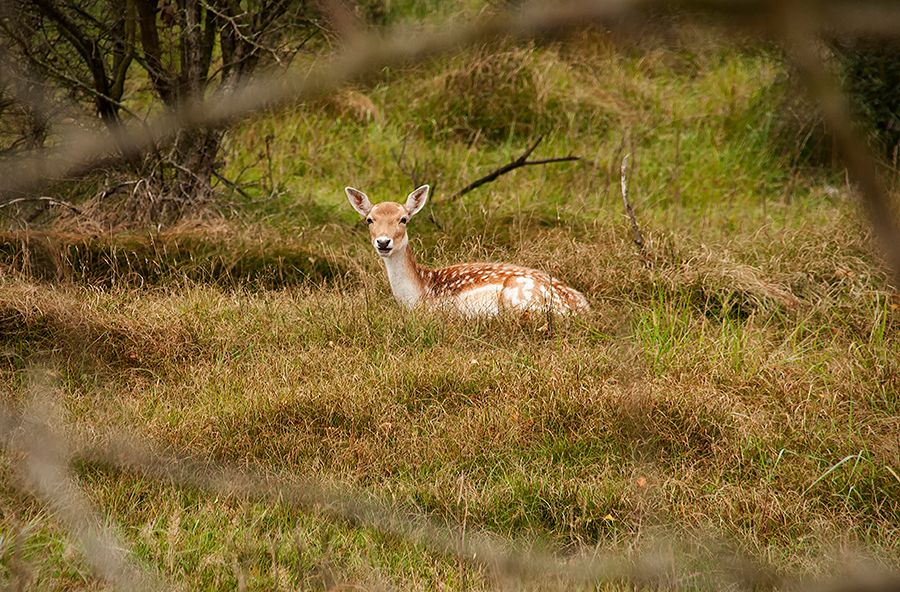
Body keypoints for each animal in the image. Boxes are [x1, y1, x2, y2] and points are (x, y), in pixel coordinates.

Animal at [344, 185, 592, 316]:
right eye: (369, 220)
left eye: (404, 219)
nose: (383, 242)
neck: (419, 293)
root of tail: (583, 310)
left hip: (518, 298)